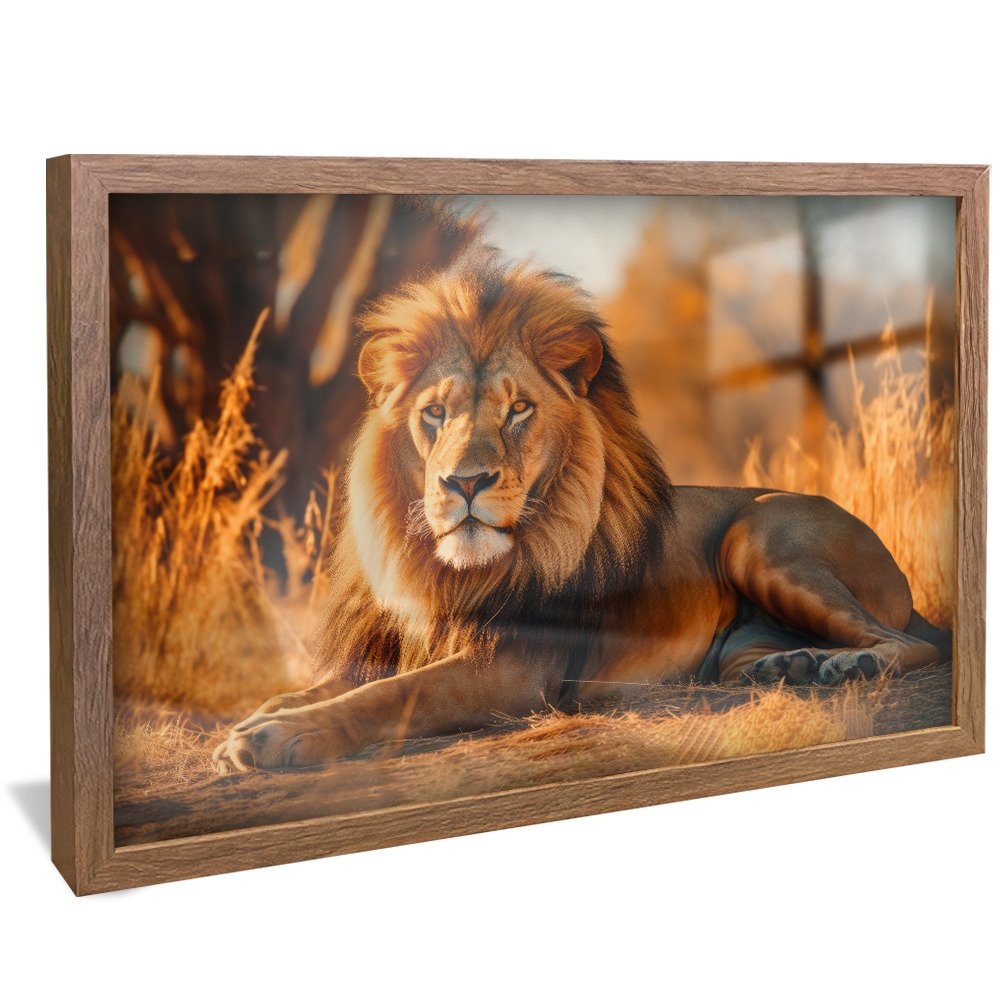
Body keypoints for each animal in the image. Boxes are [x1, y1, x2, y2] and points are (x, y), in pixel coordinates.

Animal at [214, 255, 949, 772]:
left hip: (759, 535)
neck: (449, 574)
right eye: (435, 413)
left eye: (518, 409)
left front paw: (277, 736)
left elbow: (389, 696)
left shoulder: (516, 667)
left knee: (913, 644)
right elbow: (325, 685)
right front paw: (253, 722)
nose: (465, 482)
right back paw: (788, 667)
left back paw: (850, 668)